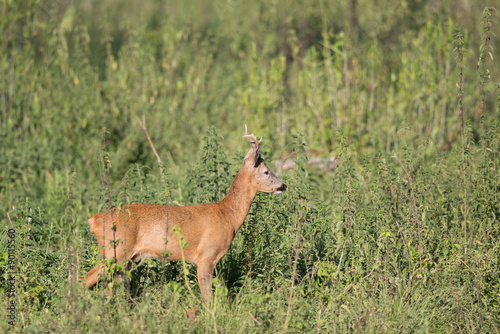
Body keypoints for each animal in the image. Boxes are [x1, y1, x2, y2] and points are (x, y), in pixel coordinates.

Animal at [86, 129, 286, 300]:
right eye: (266, 171)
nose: (283, 185)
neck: (227, 216)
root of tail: (94, 220)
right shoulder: (206, 255)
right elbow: (207, 296)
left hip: (125, 258)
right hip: (115, 250)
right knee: (86, 278)